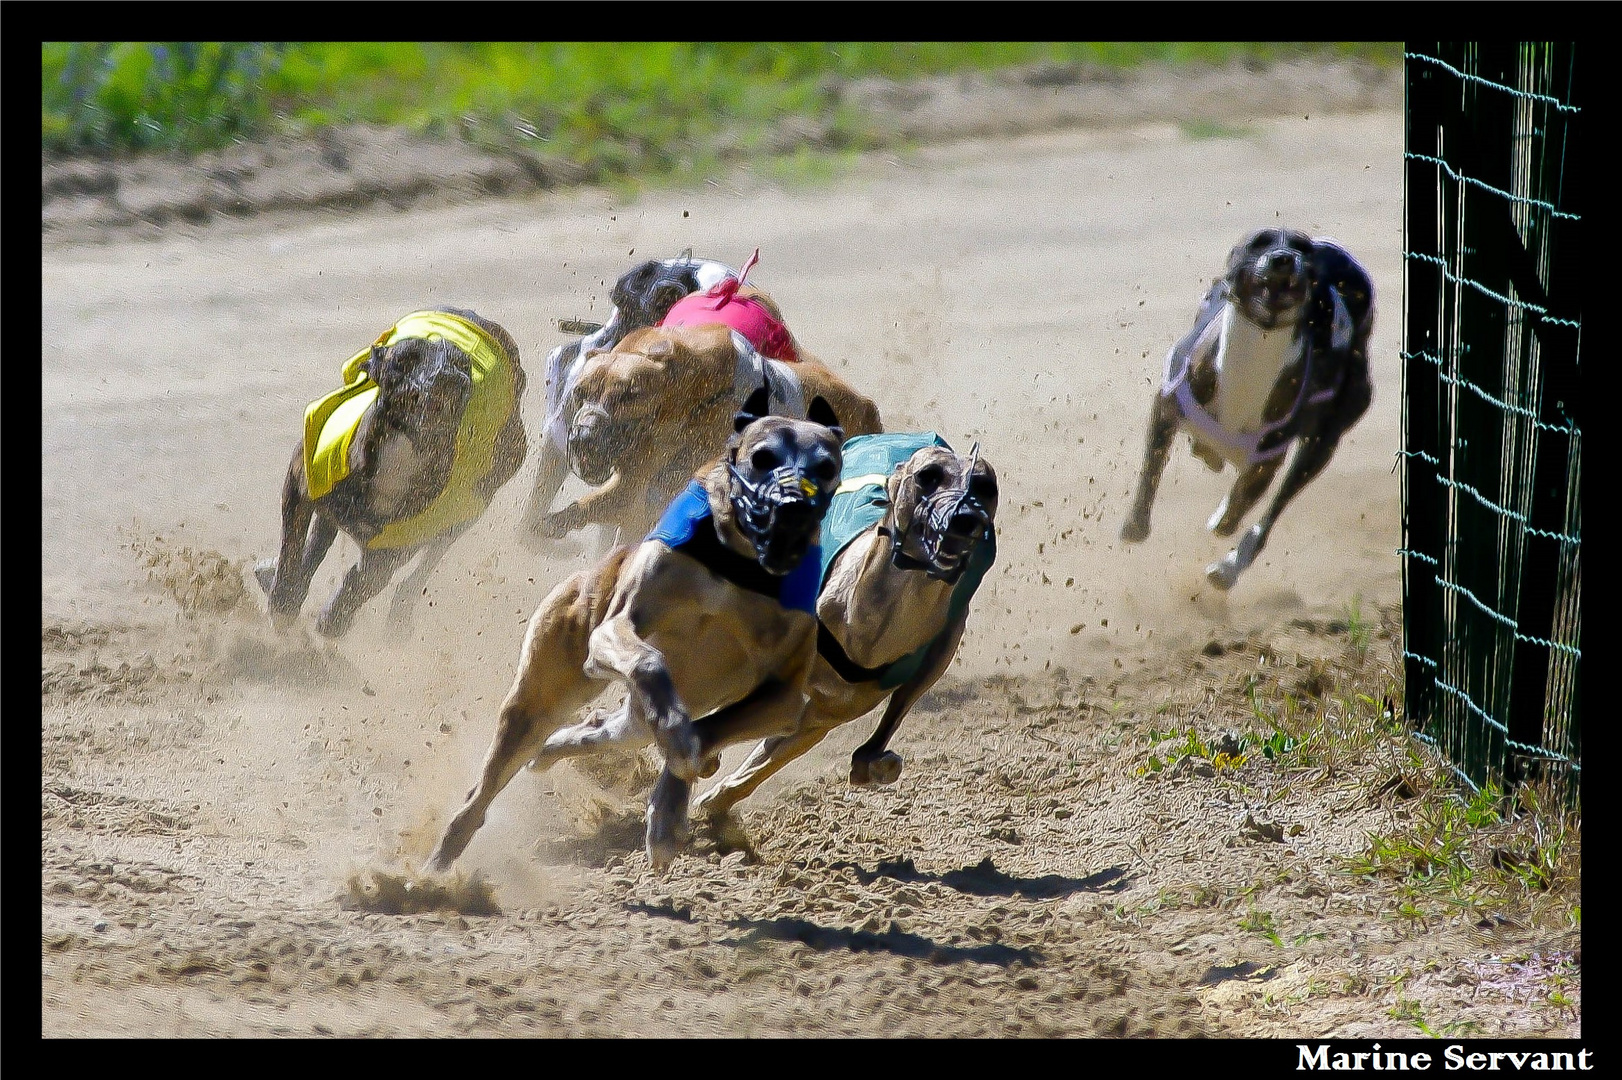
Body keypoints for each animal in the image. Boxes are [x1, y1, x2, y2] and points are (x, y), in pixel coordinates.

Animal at [1122, 225, 1375, 590]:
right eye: (1260, 242)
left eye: (1302, 249)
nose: (1284, 258)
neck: (1254, 352)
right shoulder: (1168, 406)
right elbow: (1150, 471)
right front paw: (1134, 525)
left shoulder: (1268, 458)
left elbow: (1239, 506)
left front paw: (1222, 522)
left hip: (1321, 445)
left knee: (1270, 513)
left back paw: (1228, 567)